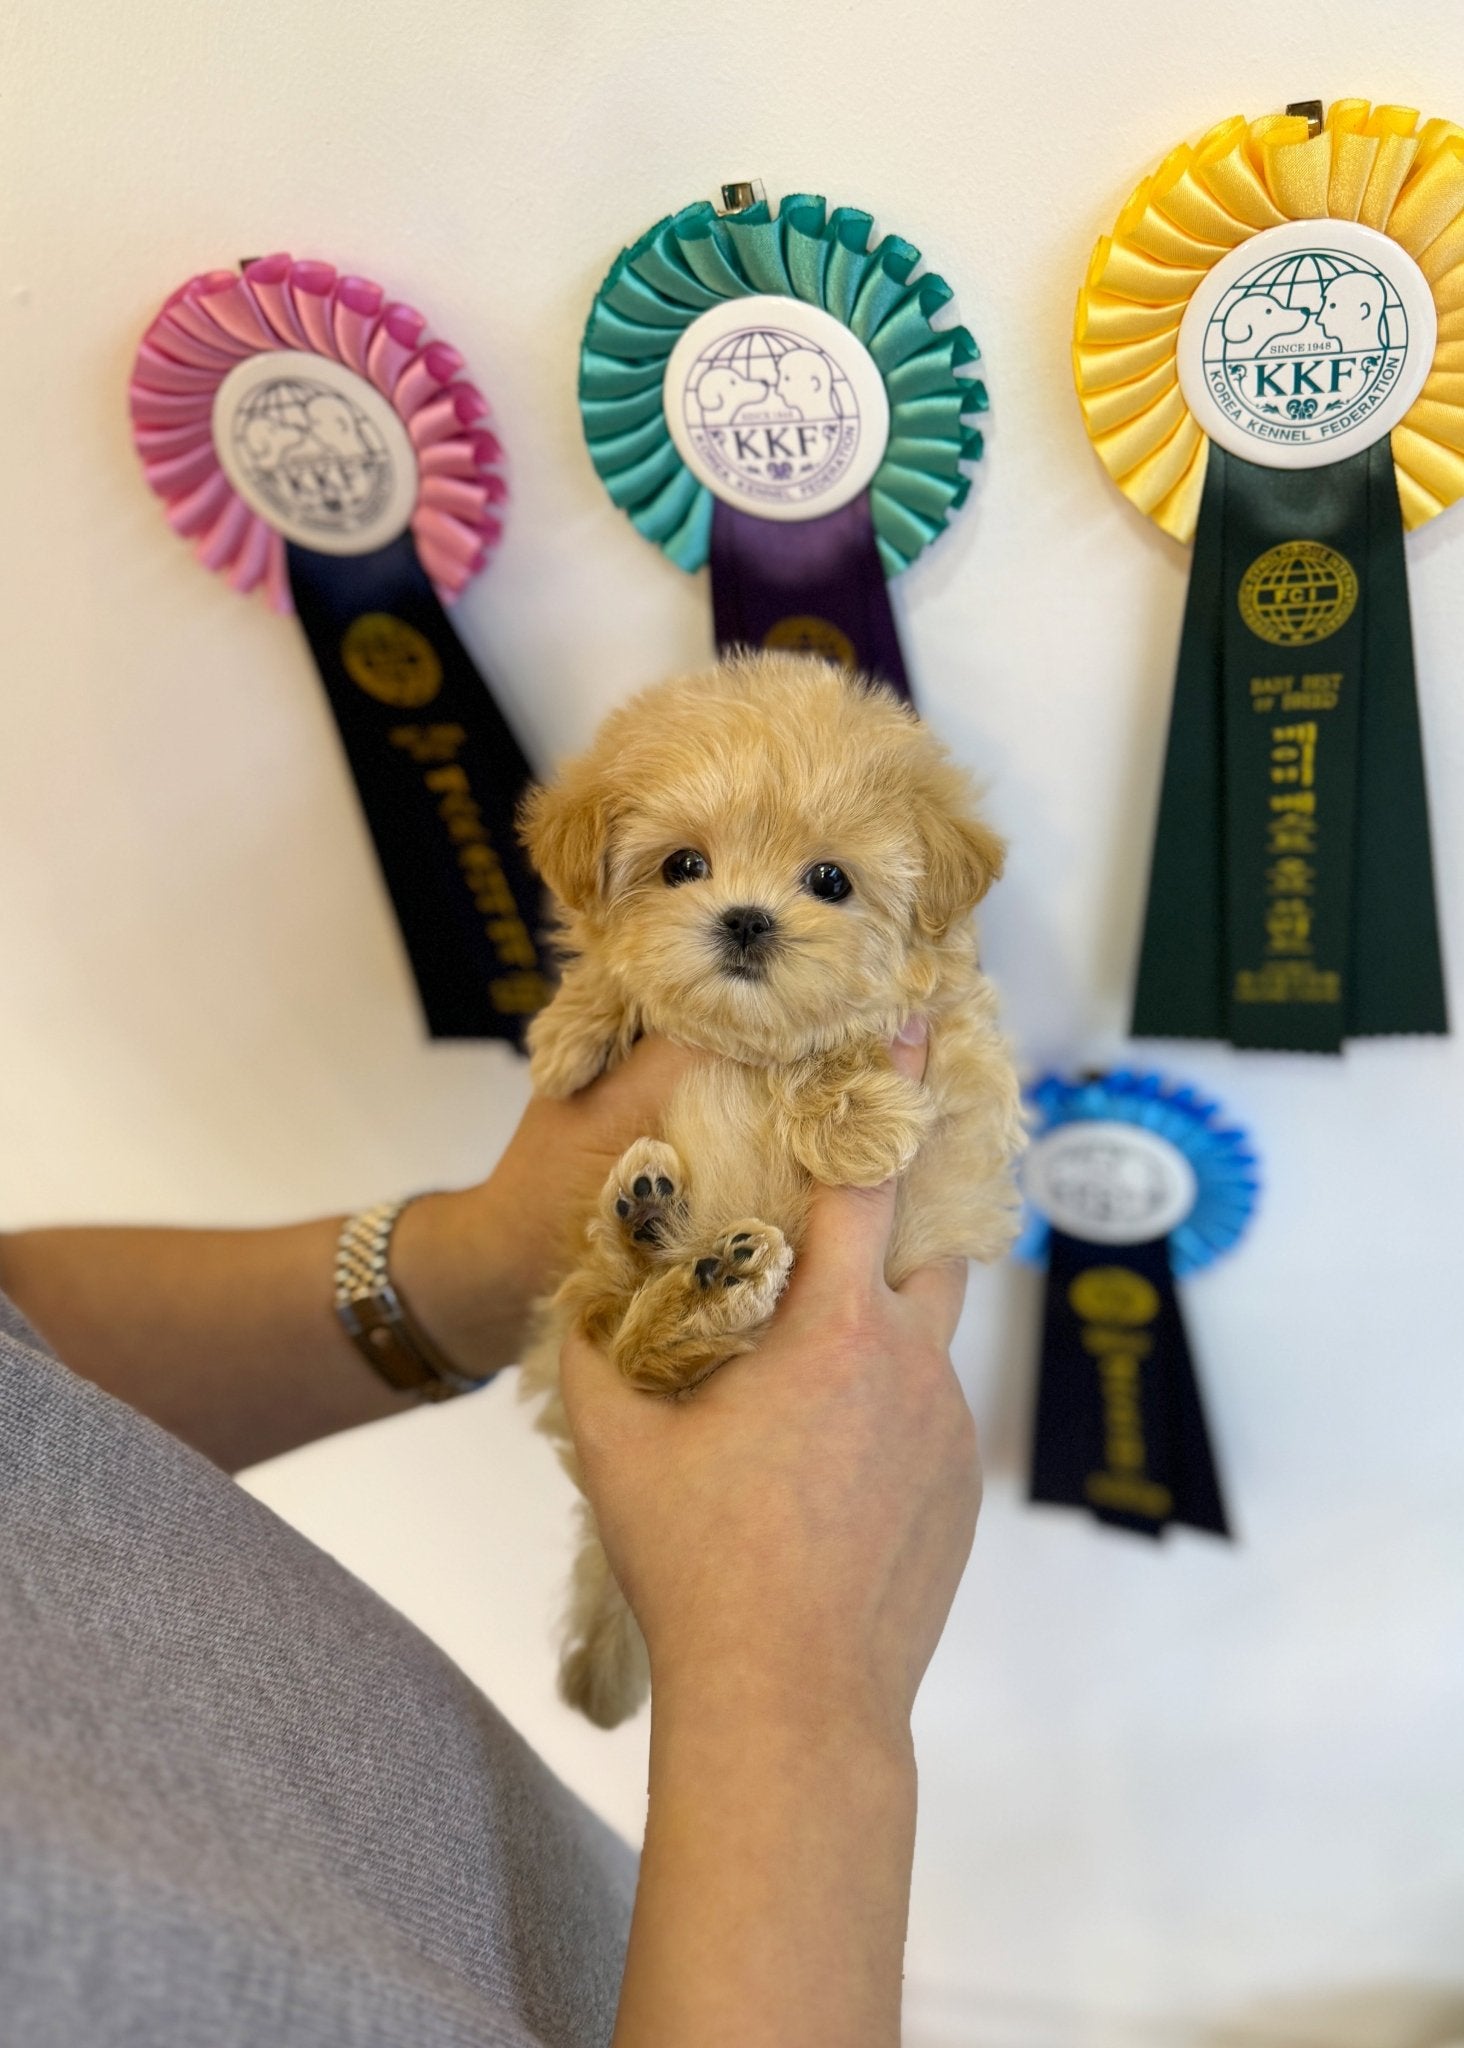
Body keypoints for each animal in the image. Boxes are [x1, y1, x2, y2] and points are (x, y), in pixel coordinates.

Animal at [522, 651, 1023, 1728]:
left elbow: (849, 1035)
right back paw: (670, 1247)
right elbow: (613, 974)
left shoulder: (949, 1050)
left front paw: (851, 1115)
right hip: (582, 1299)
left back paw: (692, 1265)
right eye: (682, 866)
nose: (747, 919)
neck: (741, 1044)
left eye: (829, 880)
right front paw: (576, 1027)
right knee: (614, 1327)